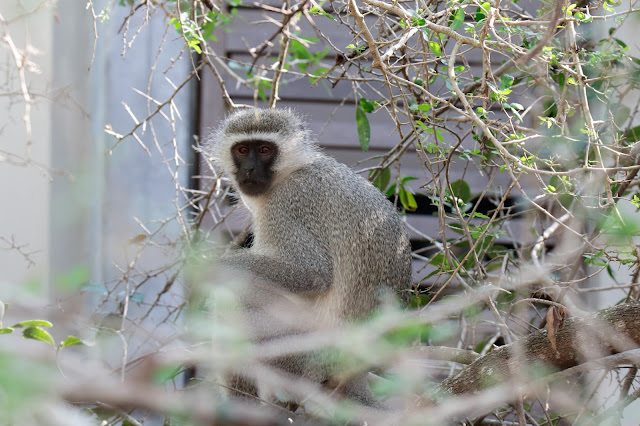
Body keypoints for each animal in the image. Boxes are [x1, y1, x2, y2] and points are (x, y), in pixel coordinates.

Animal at [208, 108, 412, 408]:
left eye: (265, 150)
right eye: (243, 149)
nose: (249, 170)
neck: (291, 170)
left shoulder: (287, 204)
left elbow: (311, 273)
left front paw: (209, 266)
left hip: (296, 357)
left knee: (233, 301)